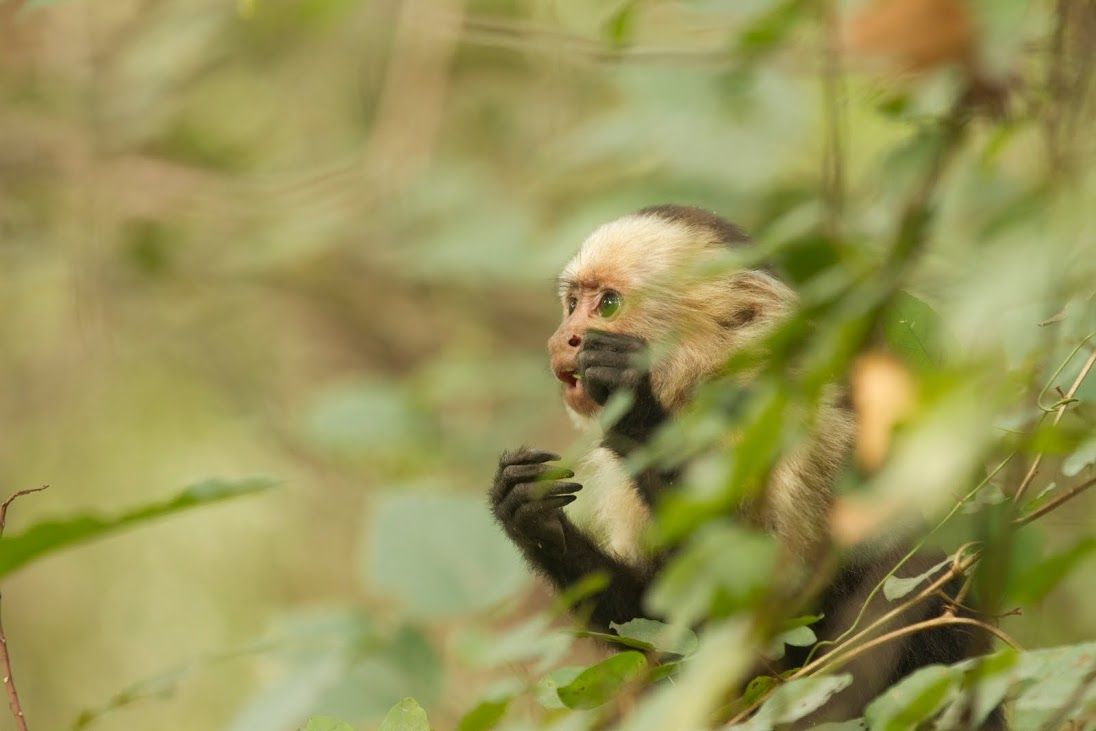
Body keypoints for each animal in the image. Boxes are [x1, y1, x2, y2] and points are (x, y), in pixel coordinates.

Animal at [489, 204, 997, 724]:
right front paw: (531, 515)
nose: (562, 338)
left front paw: (631, 397)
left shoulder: (804, 424)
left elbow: (766, 601)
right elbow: (667, 624)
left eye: (608, 304)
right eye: (573, 303)